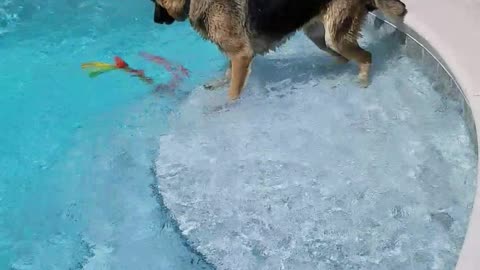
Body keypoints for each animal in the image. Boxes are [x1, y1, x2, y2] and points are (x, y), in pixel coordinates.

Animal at [151, 0, 404, 100]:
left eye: (155, 4)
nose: (154, 21)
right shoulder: (235, 53)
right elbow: (228, 73)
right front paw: (218, 83)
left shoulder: (242, 54)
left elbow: (233, 91)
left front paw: (226, 108)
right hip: (318, 36)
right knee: (342, 58)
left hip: (335, 37)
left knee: (366, 56)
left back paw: (362, 80)